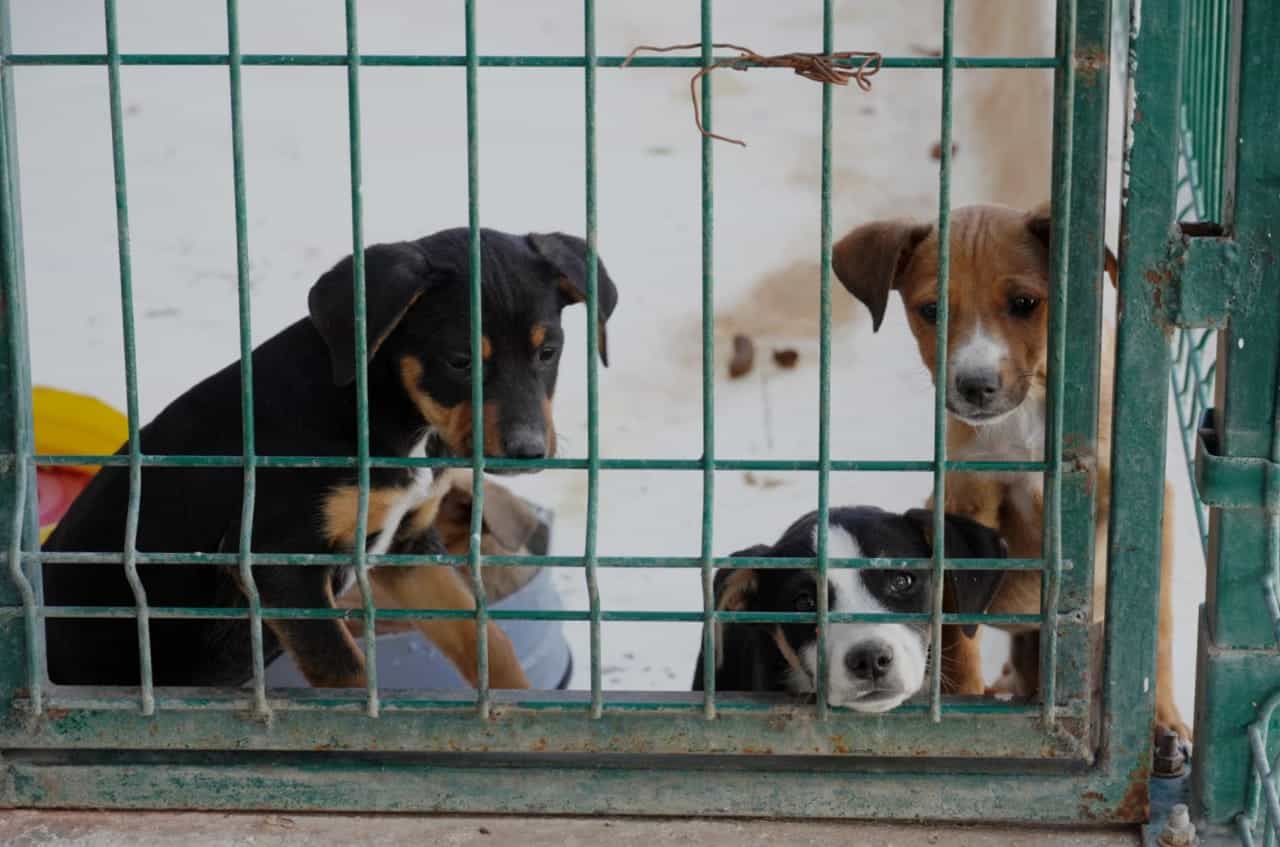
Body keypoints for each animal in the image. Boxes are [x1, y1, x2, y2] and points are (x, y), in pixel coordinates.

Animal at [42, 229, 616, 696]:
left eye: (549, 352)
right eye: (460, 361)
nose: (528, 451)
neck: (388, 410)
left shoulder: (409, 548)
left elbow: (485, 635)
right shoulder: (278, 561)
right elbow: (348, 674)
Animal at [829, 204, 1187, 742]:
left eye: (1024, 303)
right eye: (932, 311)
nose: (975, 387)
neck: (1029, 416)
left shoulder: (1136, 504)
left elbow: (1149, 622)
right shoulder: (964, 500)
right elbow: (957, 627)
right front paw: (962, 703)